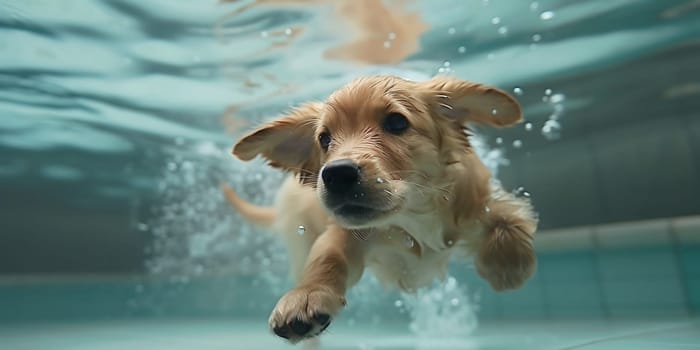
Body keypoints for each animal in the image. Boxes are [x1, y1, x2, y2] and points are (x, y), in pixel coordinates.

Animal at [221, 75, 540, 344]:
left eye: (397, 123)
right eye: (324, 139)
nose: (336, 174)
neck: (413, 214)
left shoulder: (477, 200)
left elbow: (506, 217)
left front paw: (506, 265)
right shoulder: (346, 233)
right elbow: (328, 257)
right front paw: (308, 294)